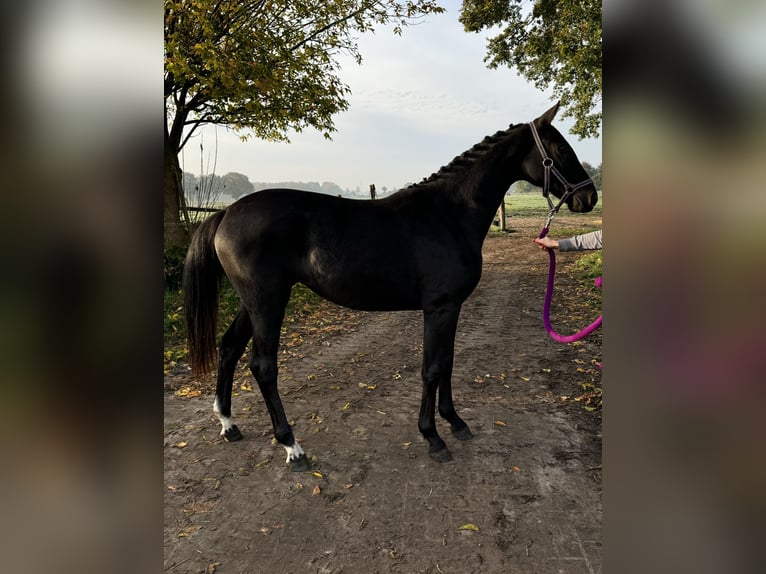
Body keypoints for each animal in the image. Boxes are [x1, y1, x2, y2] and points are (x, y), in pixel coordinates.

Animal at [184, 103, 600, 472]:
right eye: (562, 150)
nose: (589, 196)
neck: (447, 214)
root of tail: (226, 213)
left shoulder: (452, 308)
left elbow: (448, 362)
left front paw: (456, 422)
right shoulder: (439, 307)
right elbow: (432, 368)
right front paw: (433, 437)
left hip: (252, 303)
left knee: (229, 348)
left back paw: (229, 424)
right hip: (268, 303)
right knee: (263, 366)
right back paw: (292, 446)